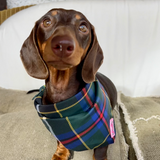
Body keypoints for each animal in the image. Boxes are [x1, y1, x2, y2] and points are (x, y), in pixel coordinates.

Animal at [20, 8, 117, 160]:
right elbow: (61, 140)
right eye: (46, 22)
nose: (63, 44)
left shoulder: (105, 134)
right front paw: (61, 153)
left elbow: (100, 152)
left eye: (83, 27)